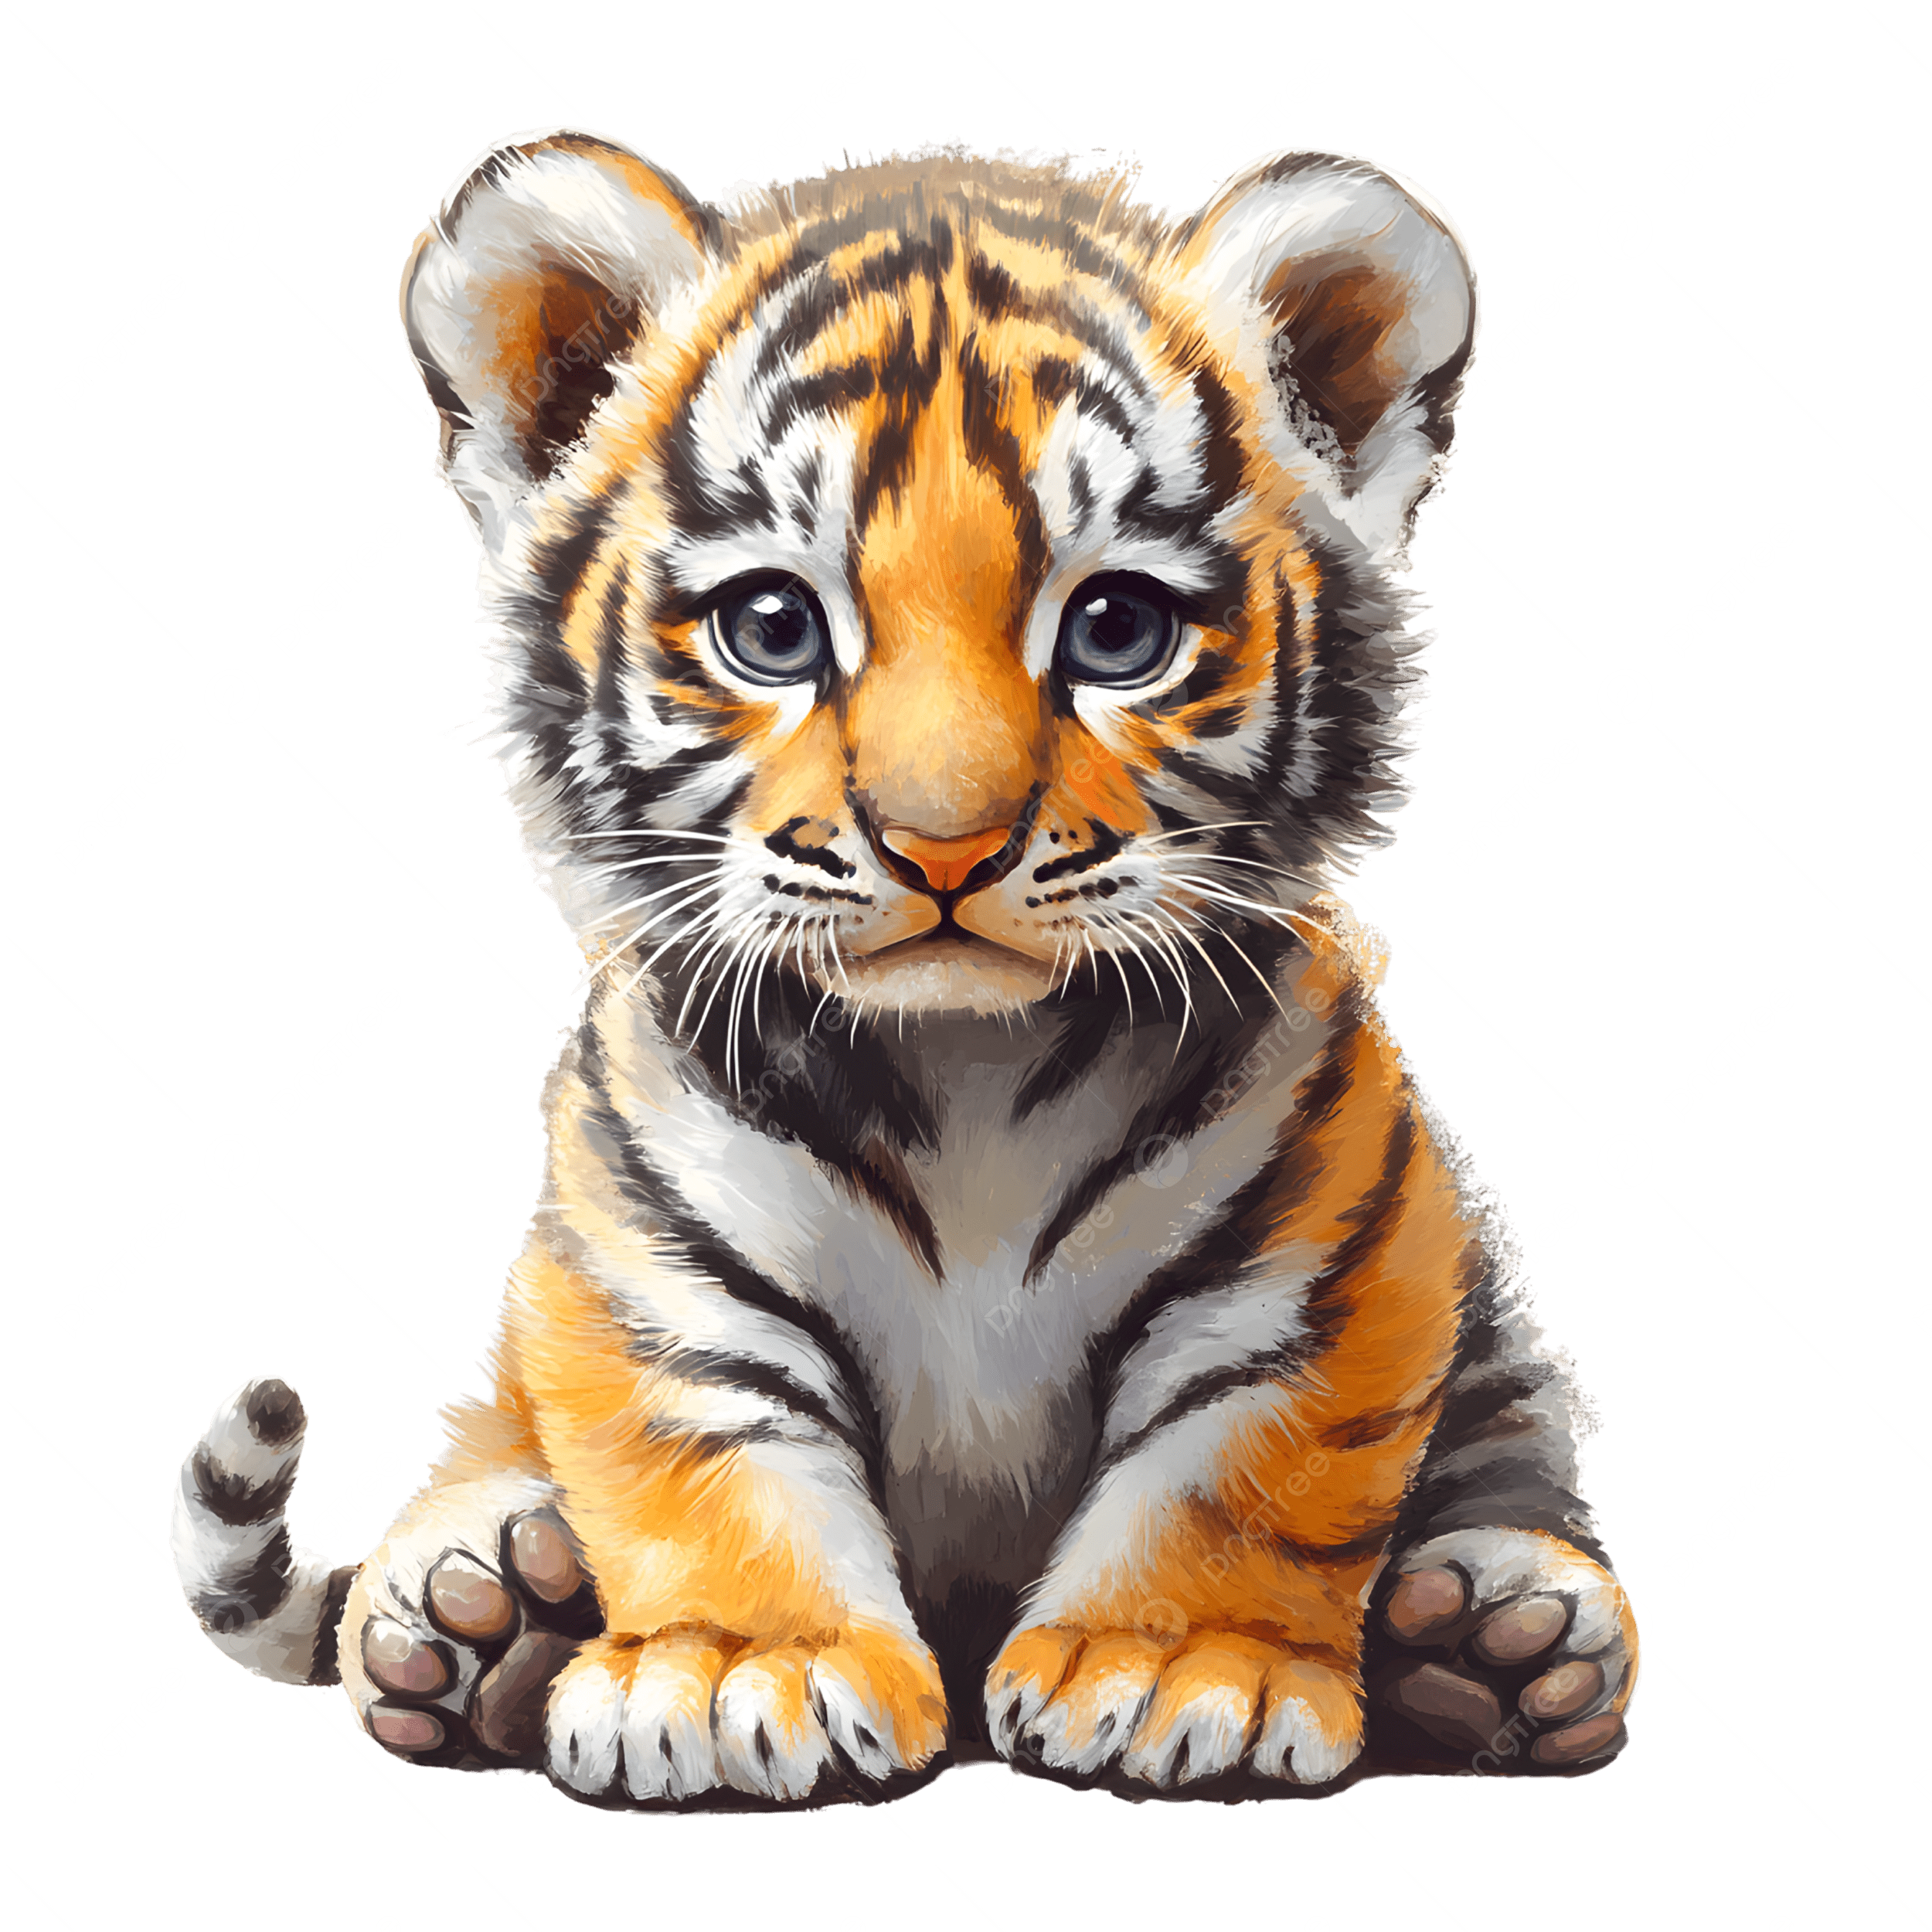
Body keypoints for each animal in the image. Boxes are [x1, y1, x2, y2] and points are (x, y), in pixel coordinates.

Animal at [169, 126, 1644, 1812]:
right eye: (769, 626)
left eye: (1118, 629)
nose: (945, 846)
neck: (969, 1073)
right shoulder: (655, 1261)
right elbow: (702, 1460)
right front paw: (733, 1672)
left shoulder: (1317, 1259)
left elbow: (1243, 1466)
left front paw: (1171, 1667)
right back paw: (479, 1620)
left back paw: (1494, 1645)